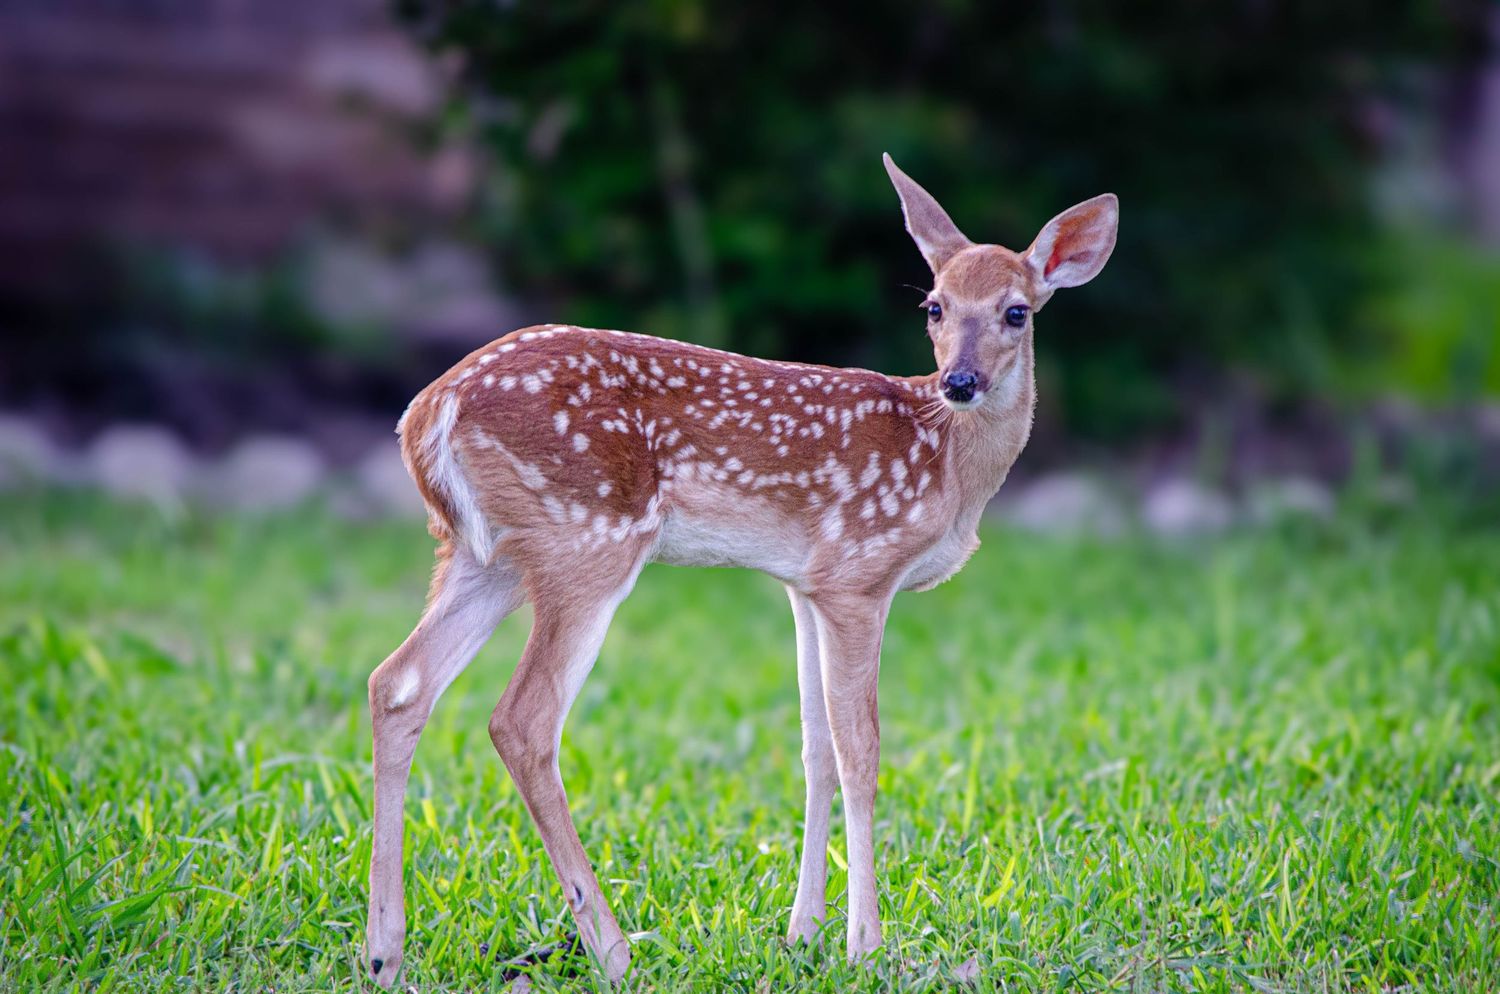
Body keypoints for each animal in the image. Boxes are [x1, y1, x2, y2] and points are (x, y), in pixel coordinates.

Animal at [364, 153, 1117, 986]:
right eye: (934, 307)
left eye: (1017, 312)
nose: (960, 381)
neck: (949, 464)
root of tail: (427, 412)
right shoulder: (859, 573)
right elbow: (862, 752)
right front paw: (866, 945)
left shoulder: (804, 585)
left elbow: (815, 748)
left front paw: (804, 933)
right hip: (590, 537)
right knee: (522, 719)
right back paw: (614, 952)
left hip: (484, 554)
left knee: (398, 683)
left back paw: (385, 954)